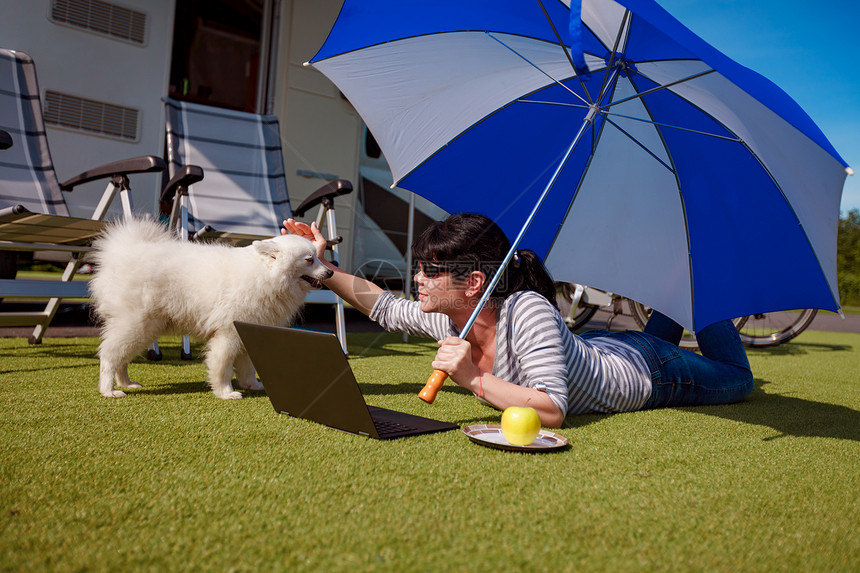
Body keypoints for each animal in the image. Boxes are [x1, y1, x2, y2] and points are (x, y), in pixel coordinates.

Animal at [87, 217, 330, 400]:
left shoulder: (249, 330)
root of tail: (122, 253)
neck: (265, 274)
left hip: (146, 328)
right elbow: (222, 366)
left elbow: (247, 367)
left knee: (122, 358)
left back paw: (126, 383)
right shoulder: (228, 334)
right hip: (136, 324)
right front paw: (225, 393)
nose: (330, 272)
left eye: (318, 257)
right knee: (109, 355)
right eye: (310, 260)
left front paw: (252, 385)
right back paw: (109, 390)